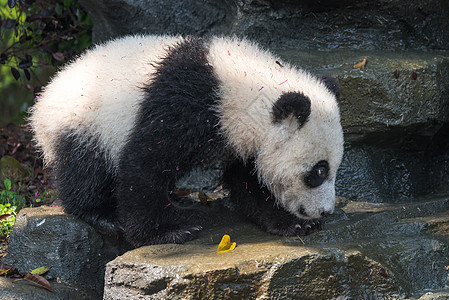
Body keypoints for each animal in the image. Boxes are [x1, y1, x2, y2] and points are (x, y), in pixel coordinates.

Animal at [30, 35, 344, 247]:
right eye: (319, 171)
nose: (326, 210)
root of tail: (43, 98)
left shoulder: (239, 136)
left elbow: (249, 181)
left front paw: (291, 223)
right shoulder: (188, 103)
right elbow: (145, 162)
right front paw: (165, 233)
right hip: (84, 121)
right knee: (85, 169)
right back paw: (102, 215)